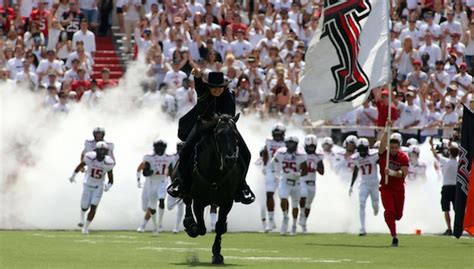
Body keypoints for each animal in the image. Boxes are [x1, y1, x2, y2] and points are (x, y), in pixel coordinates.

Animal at [181, 113, 244, 264]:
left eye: (235, 135)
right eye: (219, 134)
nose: (230, 160)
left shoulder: (227, 202)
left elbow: (219, 226)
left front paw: (217, 254)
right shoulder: (198, 201)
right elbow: (201, 228)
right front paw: (192, 227)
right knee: (186, 201)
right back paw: (188, 222)